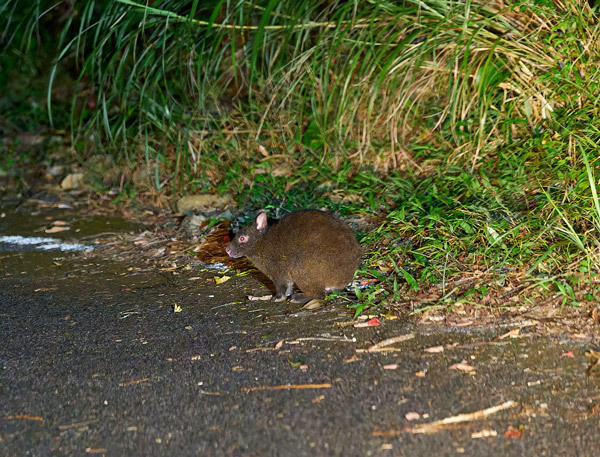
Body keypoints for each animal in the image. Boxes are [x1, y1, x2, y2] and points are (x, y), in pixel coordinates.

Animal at [226, 210, 360, 302]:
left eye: (242, 238)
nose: (227, 250)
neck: (261, 243)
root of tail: (344, 279)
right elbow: (288, 287)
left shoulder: (278, 271)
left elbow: (282, 287)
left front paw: (278, 298)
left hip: (301, 267)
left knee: (319, 293)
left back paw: (297, 298)